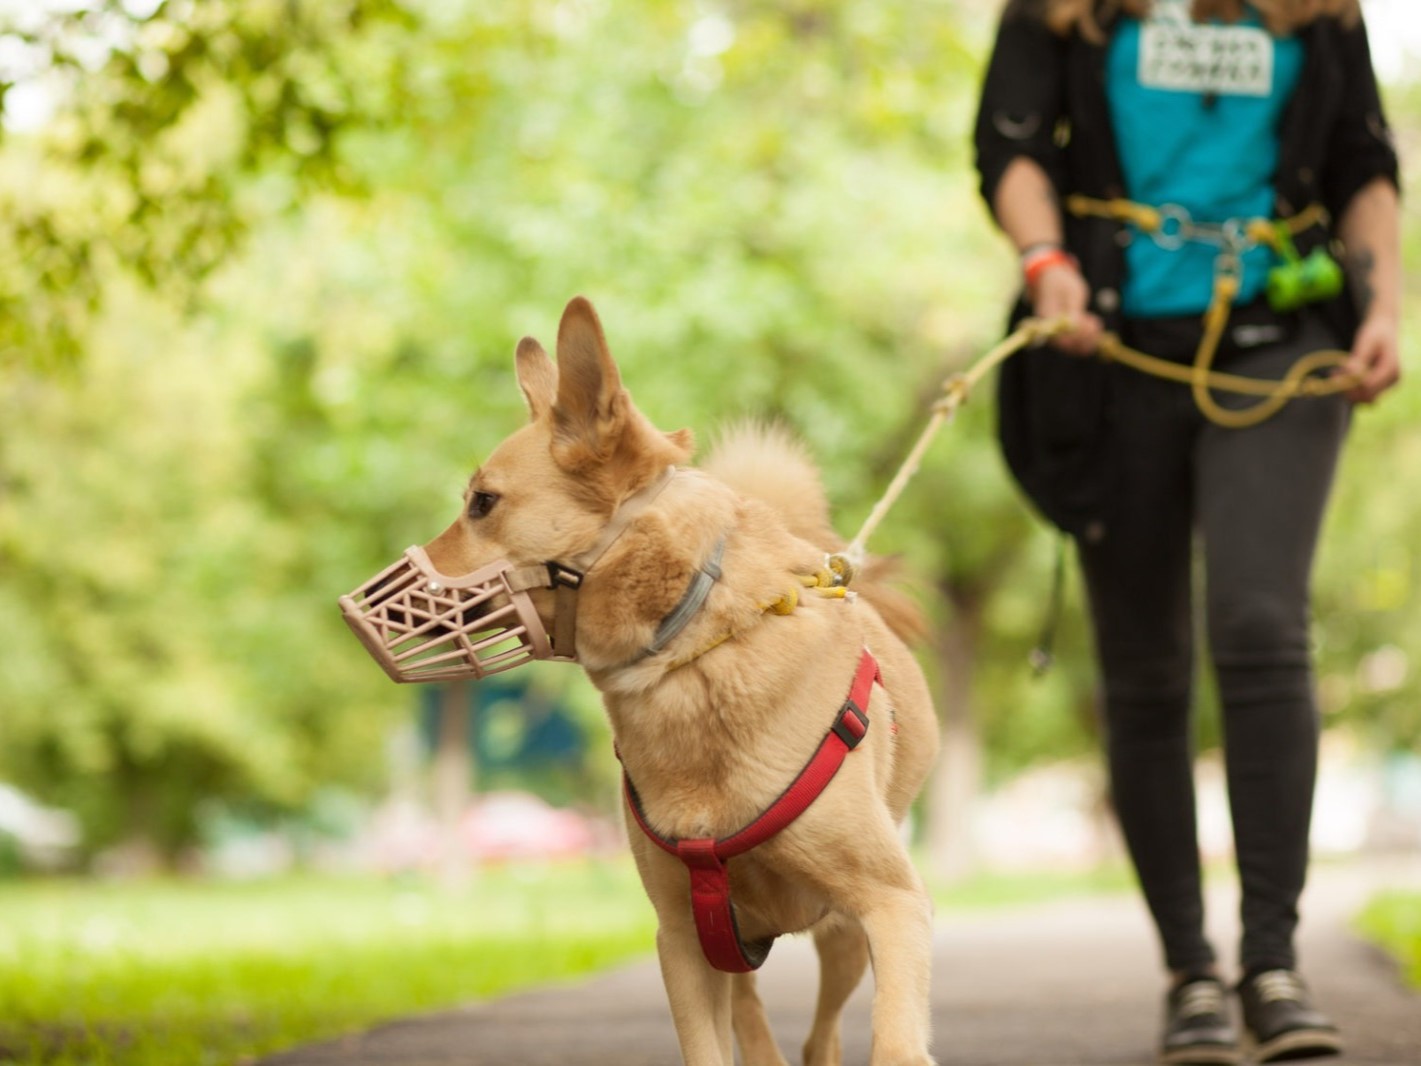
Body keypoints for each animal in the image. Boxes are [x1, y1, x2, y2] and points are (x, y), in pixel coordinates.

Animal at [414, 301, 943, 1066]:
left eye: (482, 502)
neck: (690, 656)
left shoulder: (892, 904)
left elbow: (896, 1040)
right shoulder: (684, 942)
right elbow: (708, 1048)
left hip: (843, 935)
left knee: (820, 1035)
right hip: (731, 938)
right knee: (755, 1023)